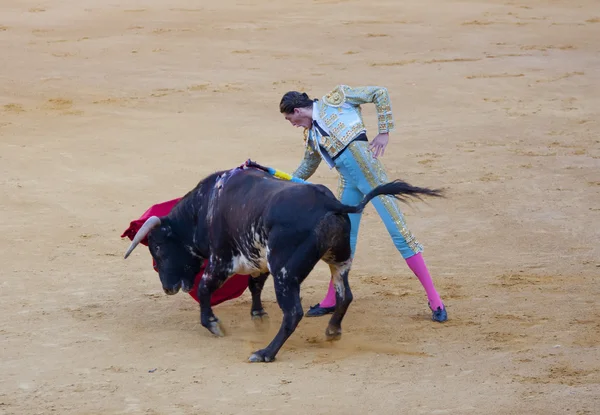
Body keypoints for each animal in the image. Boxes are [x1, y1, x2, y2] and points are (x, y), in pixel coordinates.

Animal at [124, 167, 442, 362]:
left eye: (158, 249)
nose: (167, 288)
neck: (204, 207)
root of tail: (331, 204)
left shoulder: (222, 260)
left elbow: (204, 290)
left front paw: (214, 324)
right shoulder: (258, 259)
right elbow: (254, 286)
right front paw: (258, 315)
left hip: (286, 273)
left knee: (293, 312)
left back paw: (265, 353)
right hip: (339, 260)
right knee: (345, 295)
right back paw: (332, 331)